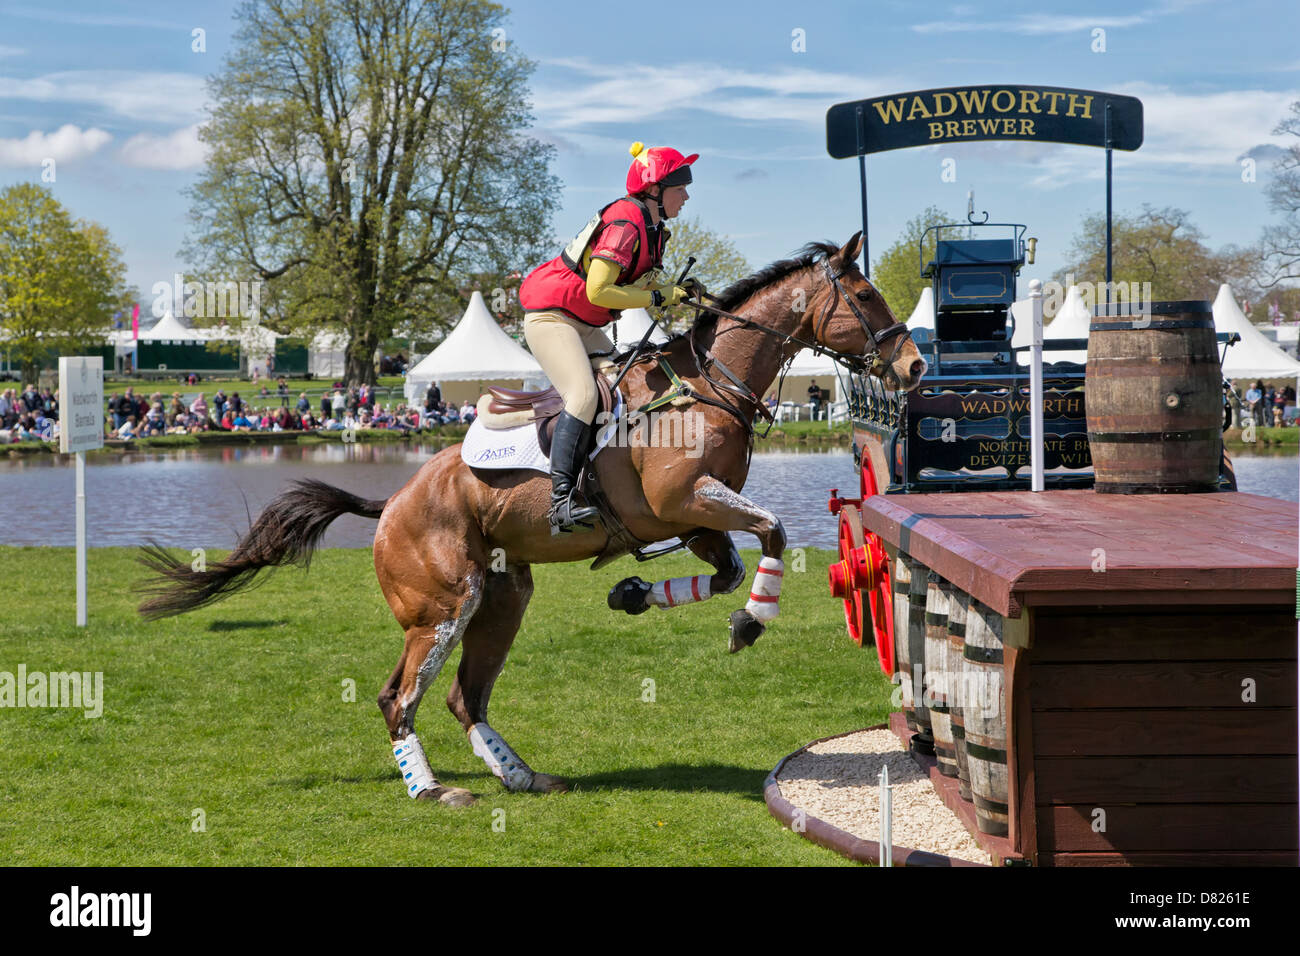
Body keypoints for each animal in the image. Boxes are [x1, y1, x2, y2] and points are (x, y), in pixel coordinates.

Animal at [137, 232, 927, 806]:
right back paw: (433, 790)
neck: (709, 387)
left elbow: (733, 565)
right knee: (401, 698)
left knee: (463, 696)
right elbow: (775, 532)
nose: (916, 366)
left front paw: (636, 594)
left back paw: (520, 775)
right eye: (864, 294)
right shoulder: (688, 501)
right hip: (444, 605)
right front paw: (750, 625)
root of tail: (392, 502)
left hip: (503, 596)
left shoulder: (695, 520)